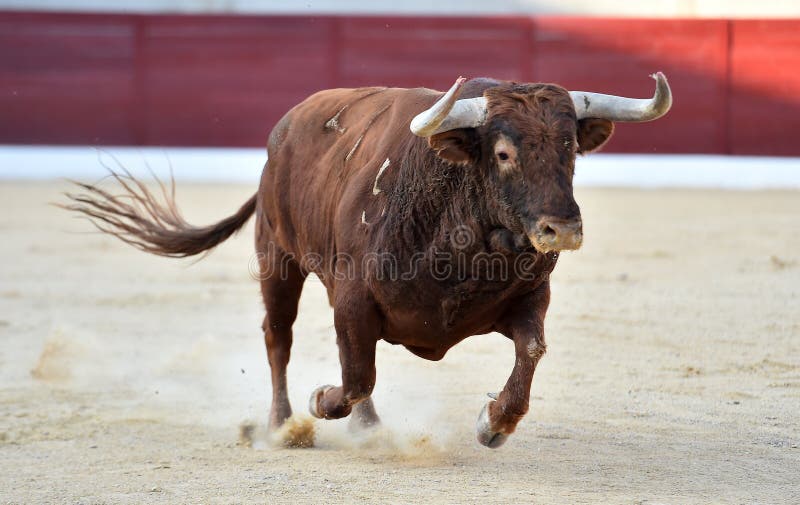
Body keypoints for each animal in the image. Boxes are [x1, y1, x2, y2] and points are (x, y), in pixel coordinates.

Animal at [64, 73, 671, 448]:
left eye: (571, 149)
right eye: (502, 153)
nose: (561, 229)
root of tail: (284, 130)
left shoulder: (529, 298)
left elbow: (530, 351)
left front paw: (493, 423)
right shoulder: (354, 299)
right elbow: (354, 376)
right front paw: (318, 401)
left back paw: (366, 427)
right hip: (277, 257)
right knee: (279, 337)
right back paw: (284, 425)